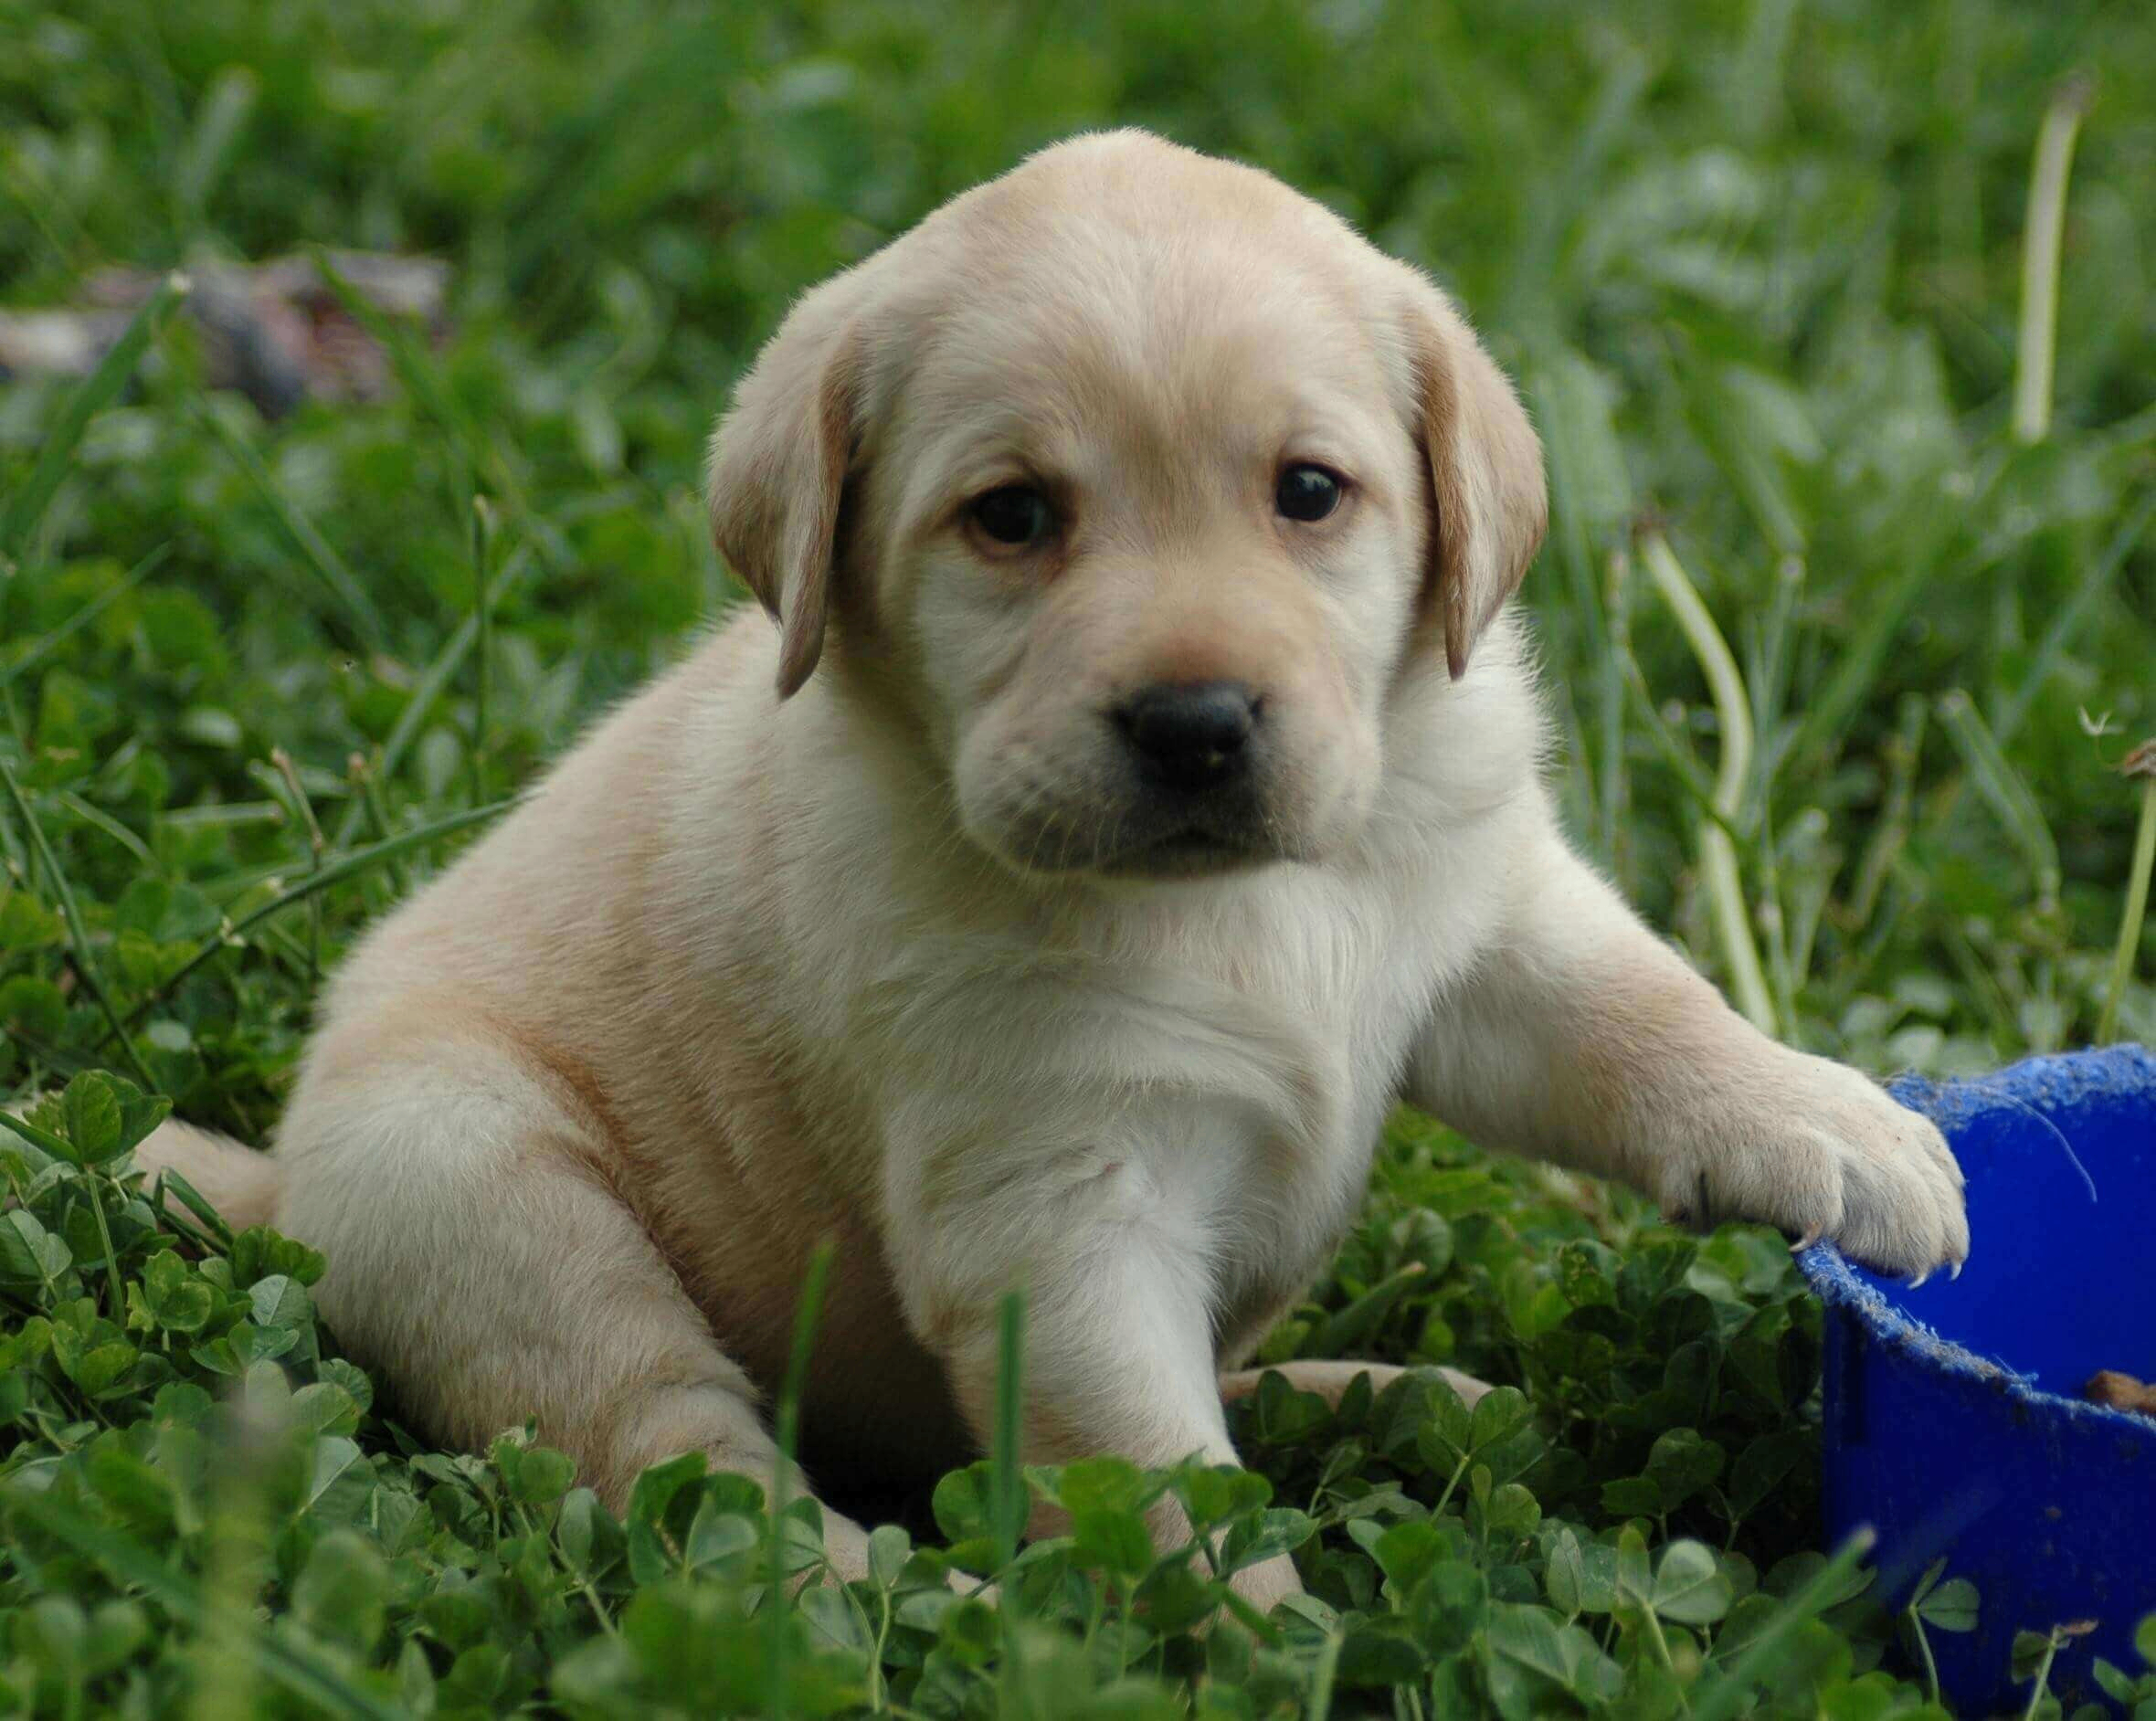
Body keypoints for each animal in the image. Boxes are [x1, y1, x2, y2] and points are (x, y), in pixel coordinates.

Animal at [147, 134, 1974, 1621]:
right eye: (1011, 516)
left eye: (1309, 491)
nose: (1195, 723)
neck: (1244, 902)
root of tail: (280, 1178)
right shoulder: (1061, 1208)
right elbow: (1156, 1478)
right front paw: (1261, 1644)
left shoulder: (1480, 919)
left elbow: (1636, 1007)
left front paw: (1837, 1126)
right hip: (474, 1172)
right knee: (680, 1456)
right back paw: (853, 1590)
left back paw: (1388, 1391)